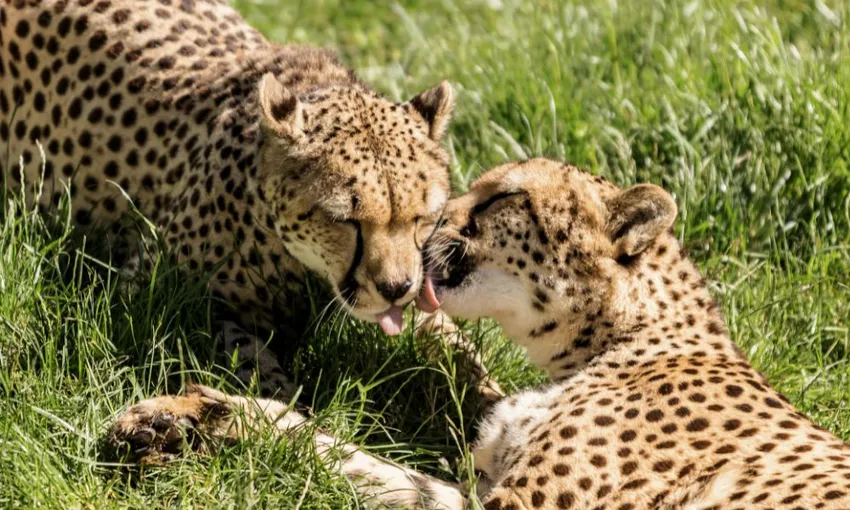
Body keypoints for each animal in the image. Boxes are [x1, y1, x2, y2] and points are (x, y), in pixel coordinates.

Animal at [0, 0, 469, 394]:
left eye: (422, 217)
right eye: (344, 220)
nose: (394, 288)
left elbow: (456, 344)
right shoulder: (156, 298)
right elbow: (249, 359)